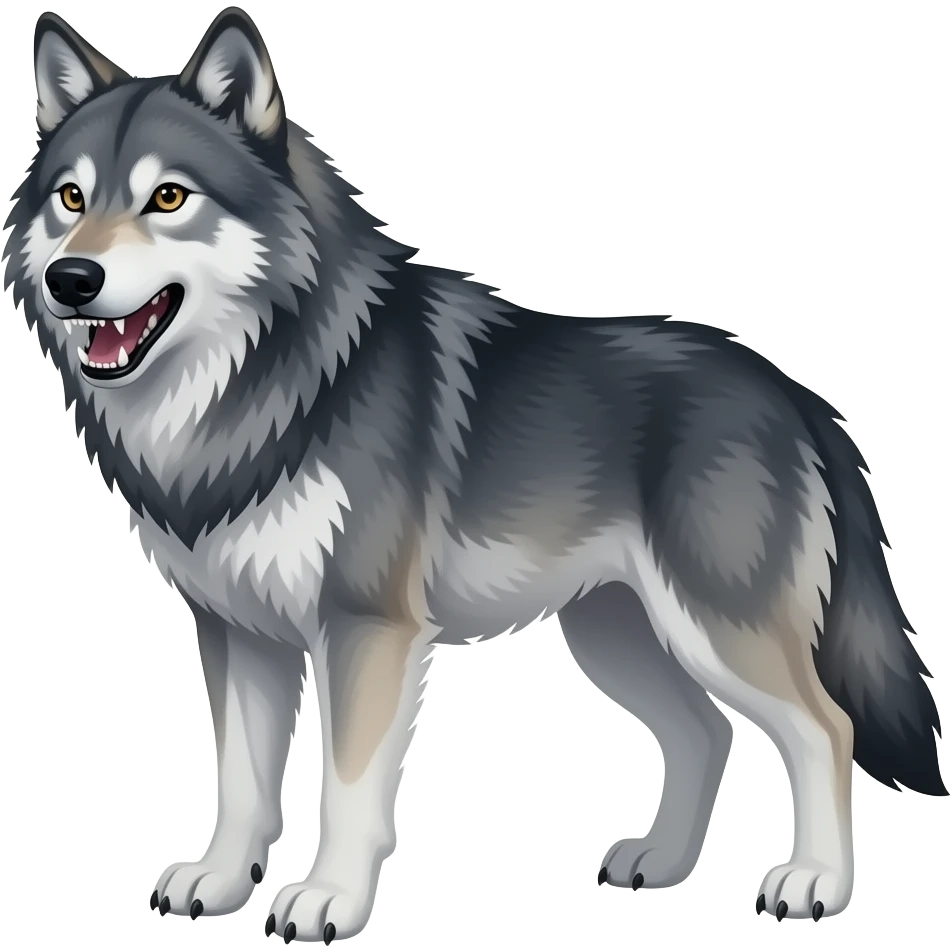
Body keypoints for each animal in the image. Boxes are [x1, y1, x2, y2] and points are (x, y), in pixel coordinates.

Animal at [3, 6, 947, 942]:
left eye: (168, 197)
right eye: (71, 198)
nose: (71, 278)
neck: (266, 383)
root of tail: (797, 393)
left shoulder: (365, 627)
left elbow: (348, 786)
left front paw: (328, 899)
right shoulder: (237, 631)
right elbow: (240, 782)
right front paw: (221, 882)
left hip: (716, 628)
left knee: (825, 729)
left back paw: (813, 884)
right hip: (618, 635)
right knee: (705, 734)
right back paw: (661, 865)